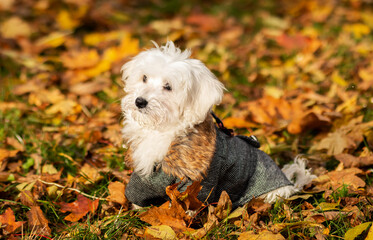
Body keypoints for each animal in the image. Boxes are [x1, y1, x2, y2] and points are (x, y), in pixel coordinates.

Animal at [120, 41, 314, 208]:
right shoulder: (144, 176)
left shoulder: (200, 182)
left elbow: (190, 203)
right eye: (144, 78)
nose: (139, 101)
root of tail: (288, 183)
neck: (160, 129)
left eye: (168, 87)